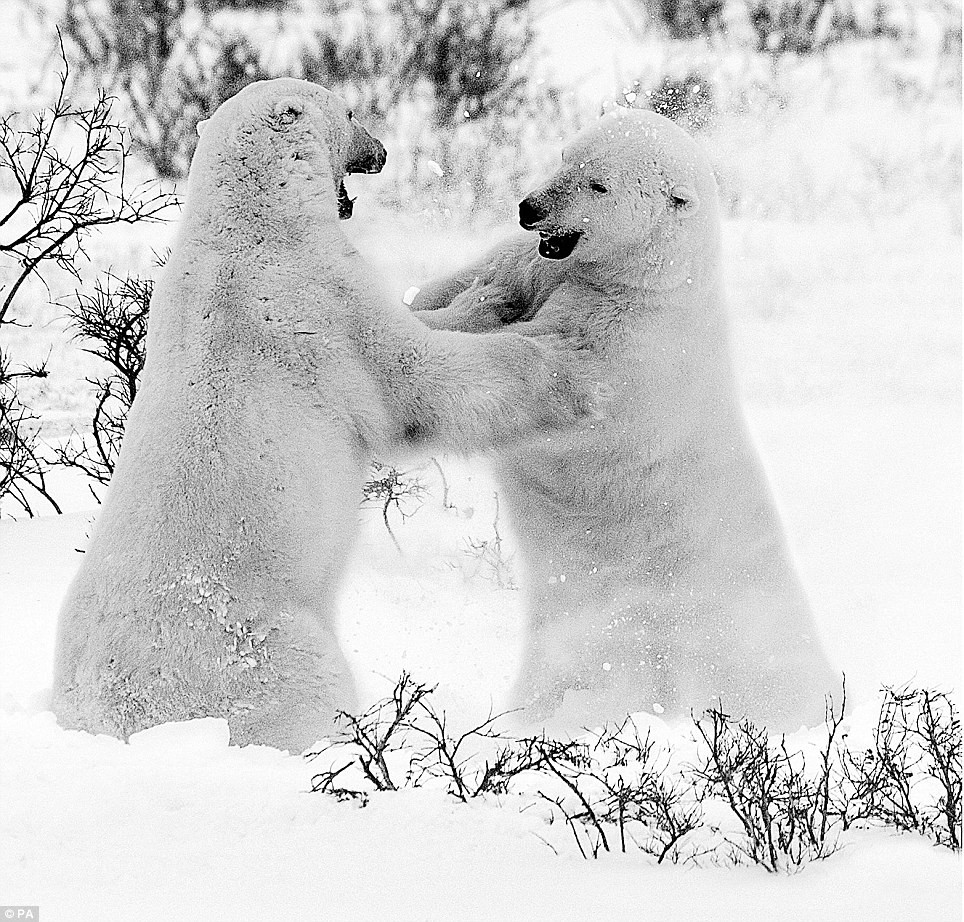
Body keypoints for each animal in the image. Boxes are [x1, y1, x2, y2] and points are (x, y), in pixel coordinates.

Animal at [54, 79, 596, 752]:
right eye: (350, 111)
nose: (382, 150)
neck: (253, 221)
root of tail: (104, 716)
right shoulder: (322, 302)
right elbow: (416, 380)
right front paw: (547, 353)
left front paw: (488, 290)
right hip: (258, 647)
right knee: (307, 686)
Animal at [414, 106, 836, 724]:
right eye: (565, 156)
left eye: (599, 185)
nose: (530, 209)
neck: (648, 282)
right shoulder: (537, 266)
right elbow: (472, 282)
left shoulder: (622, 347)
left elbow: (538, 367)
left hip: (700, 623)